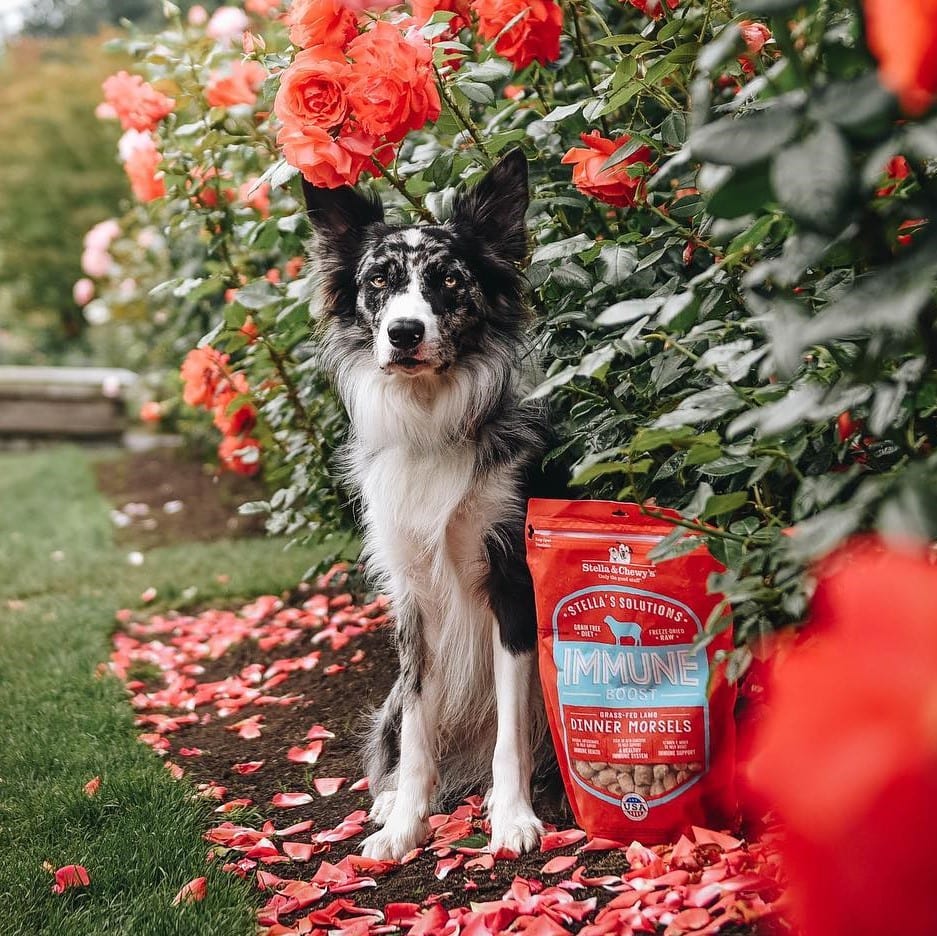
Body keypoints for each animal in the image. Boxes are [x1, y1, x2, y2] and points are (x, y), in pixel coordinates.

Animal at [300, 150, 548, 860]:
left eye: (450, 280)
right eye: (379, 280)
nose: (404, 332)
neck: (430, 421)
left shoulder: (510, 582)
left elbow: (511, 731)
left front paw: (513, 818)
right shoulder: (413, 597)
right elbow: (415, 731)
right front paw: (406, 823)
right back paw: (391, 802)